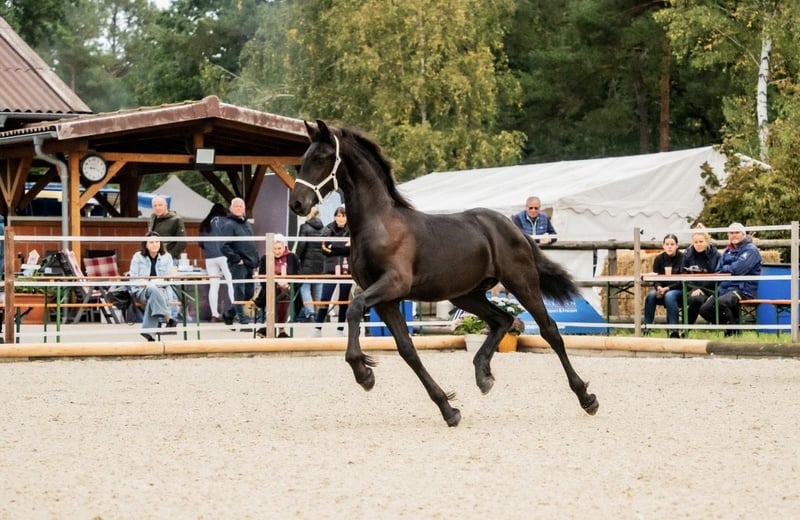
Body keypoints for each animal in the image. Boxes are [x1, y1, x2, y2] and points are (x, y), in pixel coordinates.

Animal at [289, 120, 599, 427]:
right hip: (466, 295)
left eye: (321, 158)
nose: (297, 204)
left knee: (549, 331)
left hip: (521, 283)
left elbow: (353, 308)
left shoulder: (393, 285)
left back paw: (586, 398)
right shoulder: (386, 300)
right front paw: (448, 409)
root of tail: (513, 228)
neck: (379, 223)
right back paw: (483, 375)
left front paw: (364, 373)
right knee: (503, 319)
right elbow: (407, 349)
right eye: (302, 160)